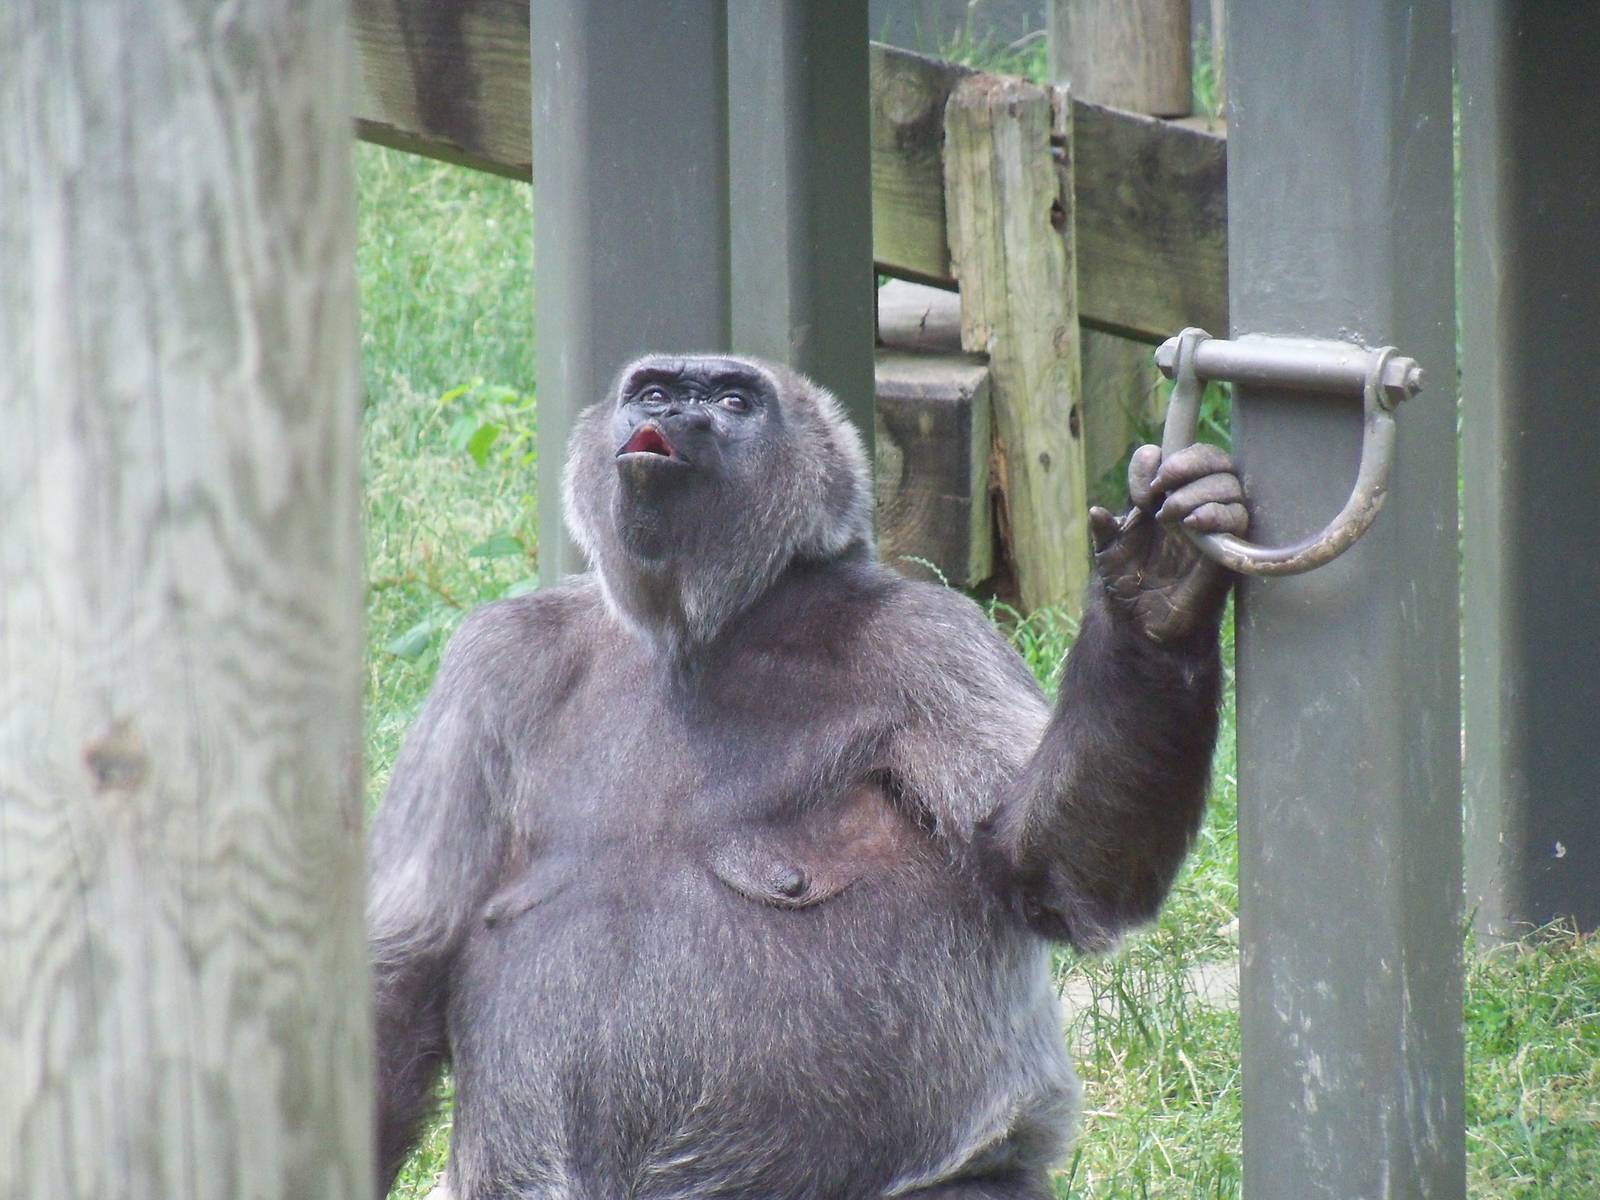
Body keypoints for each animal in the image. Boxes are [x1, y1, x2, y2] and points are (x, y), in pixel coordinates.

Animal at [367, 354, 1248, 1200]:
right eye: (650, 390)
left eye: (732, 402)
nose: (670, 411)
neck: (705, 627)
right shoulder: (493, 663)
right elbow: (407, 958)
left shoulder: (935, 643)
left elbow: (1045, 860)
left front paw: (1154, 606)